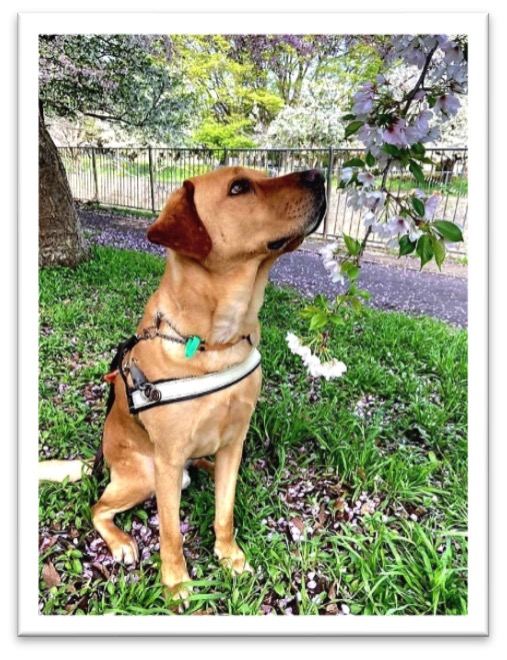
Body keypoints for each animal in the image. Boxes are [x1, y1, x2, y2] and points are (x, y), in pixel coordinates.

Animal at [40, 166, 326, 608]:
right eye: (239, 187)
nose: (320, 175)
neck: (217, 341)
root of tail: (102, 460)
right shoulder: (169, 460)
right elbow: (171, 534)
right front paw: (176, 583)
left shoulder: (234, 440)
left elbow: (224, 512)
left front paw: (229, 556)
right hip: (142, 476)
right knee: (98, 507)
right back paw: (120, 541)